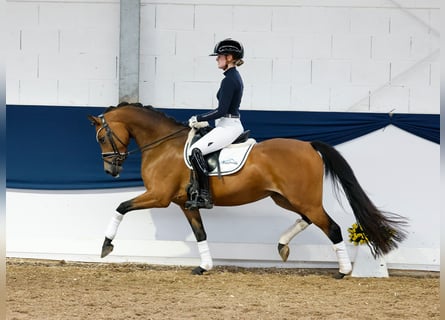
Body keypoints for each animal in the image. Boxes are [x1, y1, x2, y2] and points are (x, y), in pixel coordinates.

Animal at [86, 102, 406, 278]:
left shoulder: (159, 197)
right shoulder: (184, 204)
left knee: (332, 227)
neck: (163, 145)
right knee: (308, 219)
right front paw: (205, 266)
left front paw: (105, 246)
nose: (110, 171)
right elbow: (200, 234)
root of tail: (308, 145)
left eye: (101, 137)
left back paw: (343, 271)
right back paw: (283, 245)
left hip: (302, 199)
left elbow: (121, 207)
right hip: (285, 198)